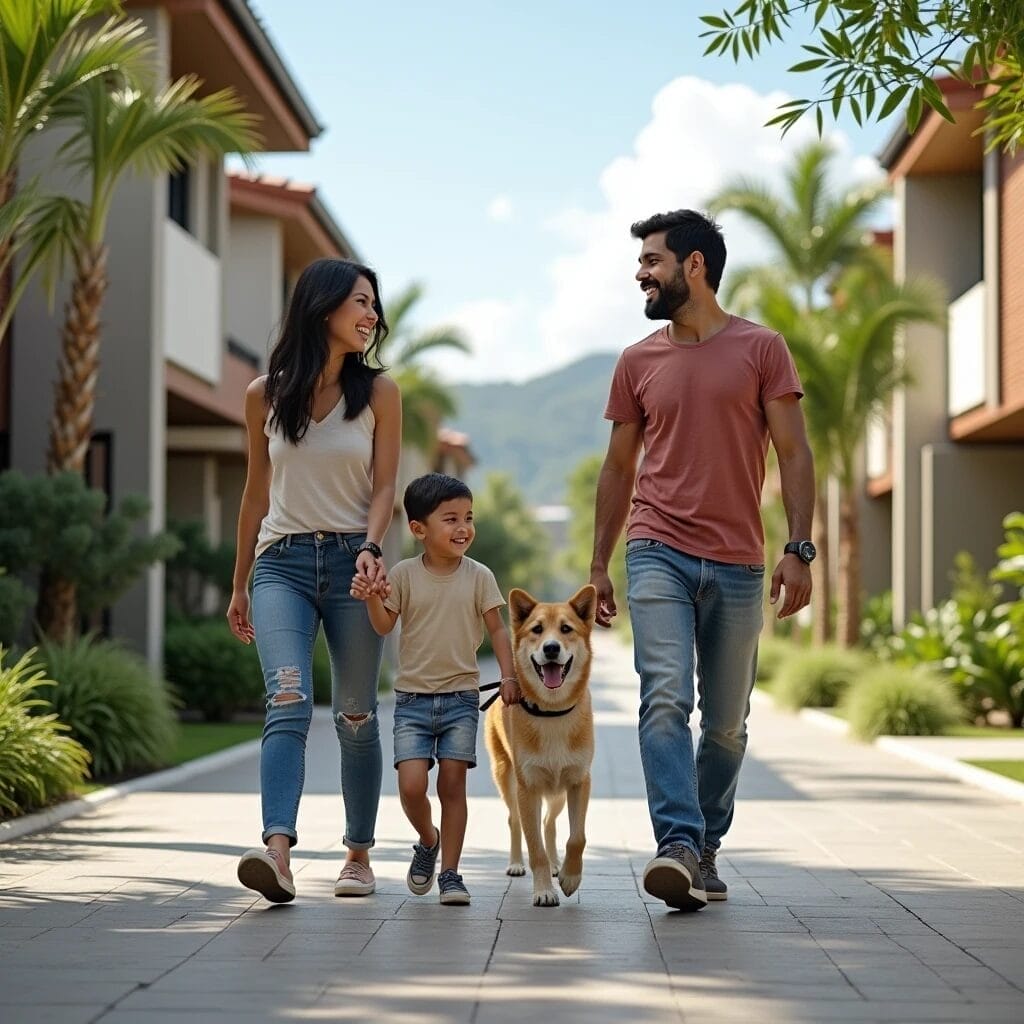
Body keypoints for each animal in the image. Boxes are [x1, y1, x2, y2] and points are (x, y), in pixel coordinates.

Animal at [483, 585, 598, 905]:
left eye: (566, 629)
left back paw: (558, 863)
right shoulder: (528, 788)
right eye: (537, 629)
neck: (552, 712)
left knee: (549, 822)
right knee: (515, 821)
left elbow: (577, 837)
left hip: (558, 793)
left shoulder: (579, 781)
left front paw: (570, 876)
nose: (551, 648)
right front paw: (544, 890)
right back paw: (516, 863)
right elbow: (534, 848)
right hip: (506, 779)